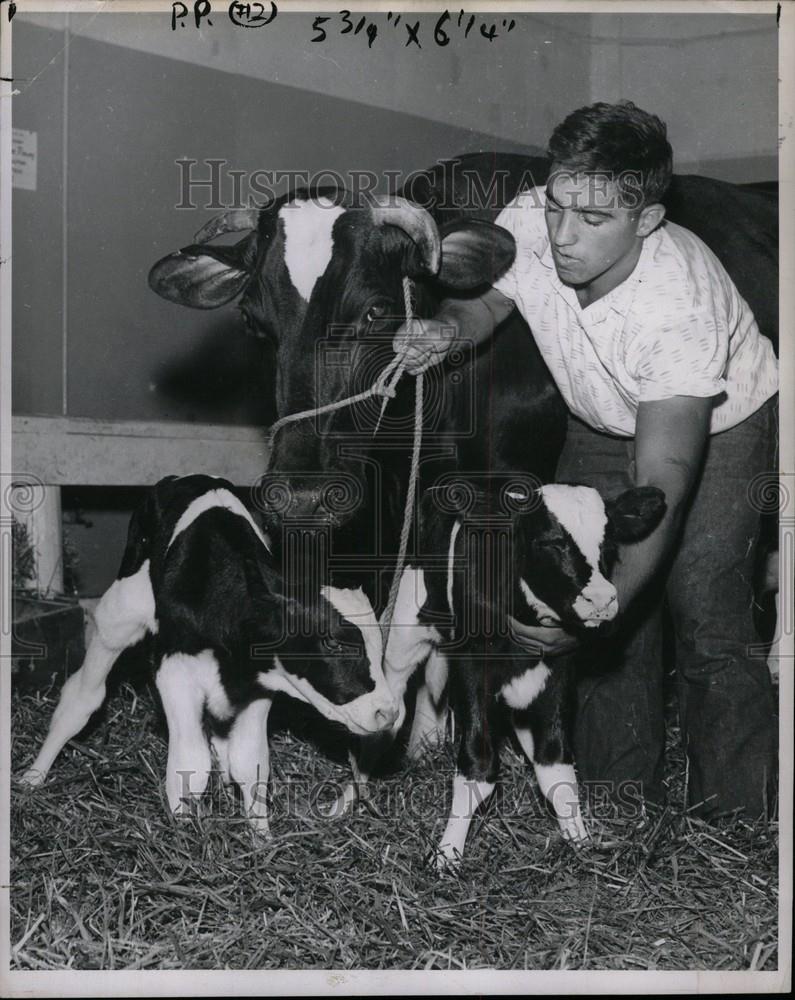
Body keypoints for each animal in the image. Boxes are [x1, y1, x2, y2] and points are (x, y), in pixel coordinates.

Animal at [19, 472, 402, 832]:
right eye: (333, 641)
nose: (388, 713)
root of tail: (186, 479)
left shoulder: (259, 687)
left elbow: (250, 762)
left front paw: (261, 840)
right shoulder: (174, 672)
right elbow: (190, 763)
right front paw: (185, 835)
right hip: (120, 613)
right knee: (82, 697)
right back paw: (33, 778)